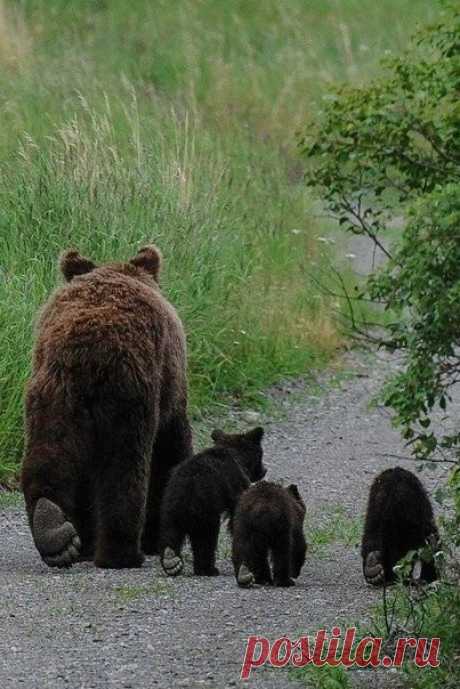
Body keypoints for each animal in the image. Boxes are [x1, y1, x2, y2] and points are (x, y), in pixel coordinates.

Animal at [21, 247, 192, 568]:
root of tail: (82, 351)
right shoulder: (169, 382)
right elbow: (170, 449)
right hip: (128, 396)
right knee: (124, 469)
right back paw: (121, 553)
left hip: (52, 397)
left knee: (49, 454)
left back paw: (55, 533)